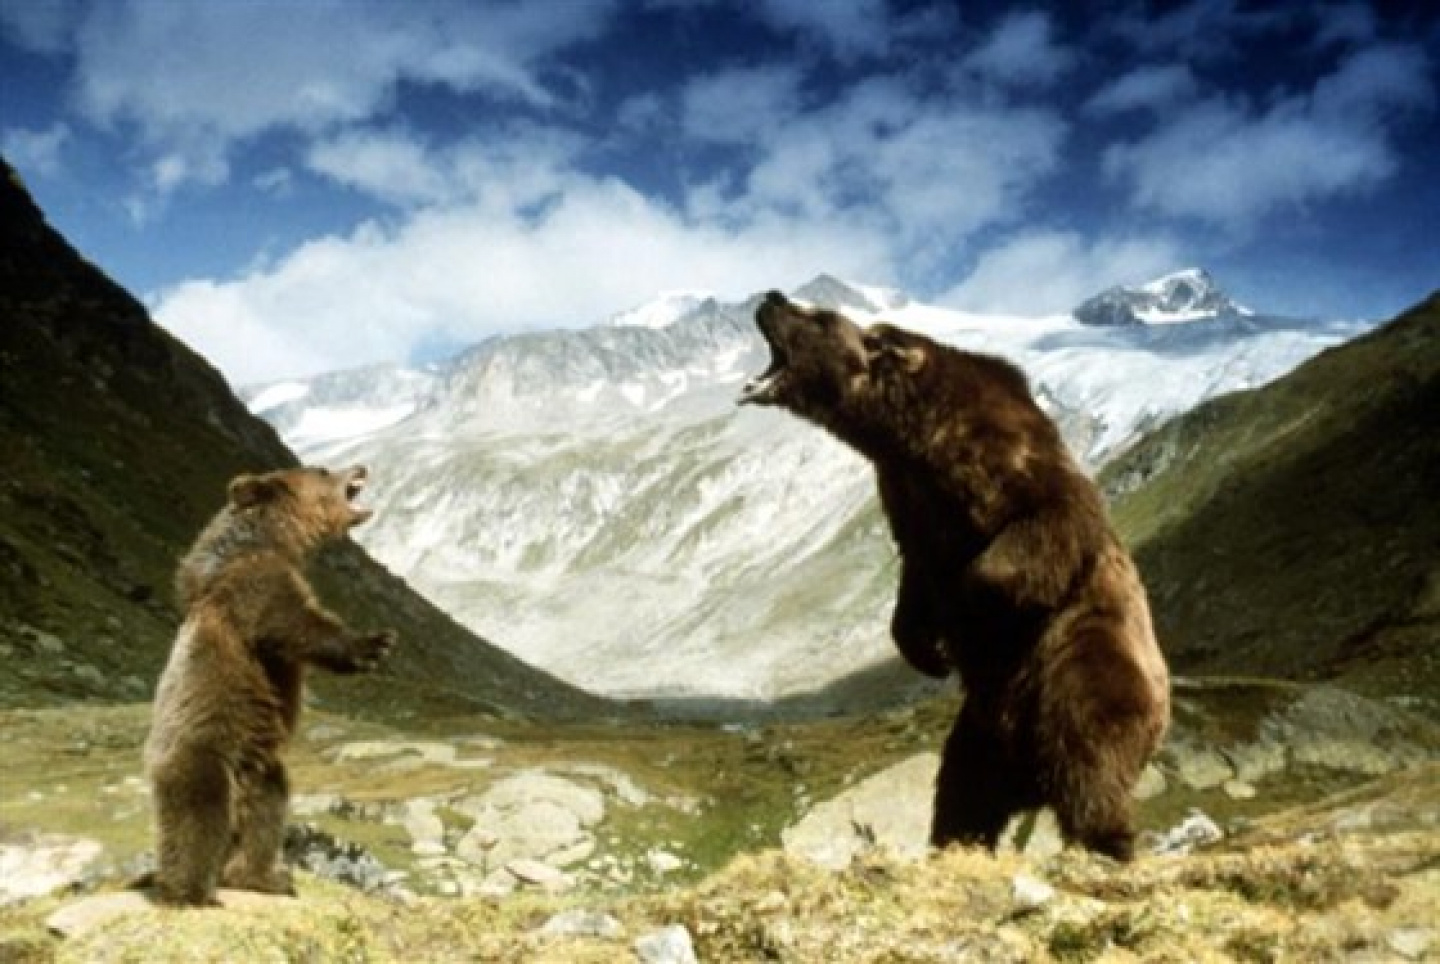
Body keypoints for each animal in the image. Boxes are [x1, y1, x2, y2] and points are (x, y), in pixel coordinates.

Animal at [141, 465, 397, 905]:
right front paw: (373, 643)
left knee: (266, 811)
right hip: (202, 754)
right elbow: (294, 623)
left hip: (260, 764)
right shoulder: (256, 583)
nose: (360, 467)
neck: (274, 540)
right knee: (198, 816)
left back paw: (264, 877)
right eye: (323, 471)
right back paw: (190, 891)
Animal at [741, 291, 1170, 861]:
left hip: (1083, 664)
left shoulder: (1013, 464)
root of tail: (1029, 772)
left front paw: (965, 620)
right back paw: (958, 842)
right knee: (964, 791)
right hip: (980, 734)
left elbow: (1036, 529)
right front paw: (928, 651)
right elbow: (913, 582)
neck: (910, 435)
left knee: (1089, 752)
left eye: (820, 317)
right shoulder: (911, 505)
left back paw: (1107, 841)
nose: (770, 298)